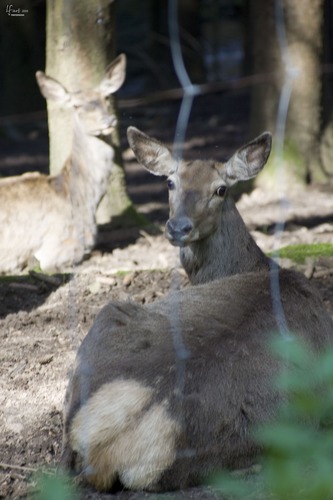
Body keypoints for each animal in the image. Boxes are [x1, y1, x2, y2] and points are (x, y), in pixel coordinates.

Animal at [60, 128, 332, 492]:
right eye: (170, 182)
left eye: (221, 189)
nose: (178, 227)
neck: (258, 266)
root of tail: (103, 451)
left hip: (108, 313)